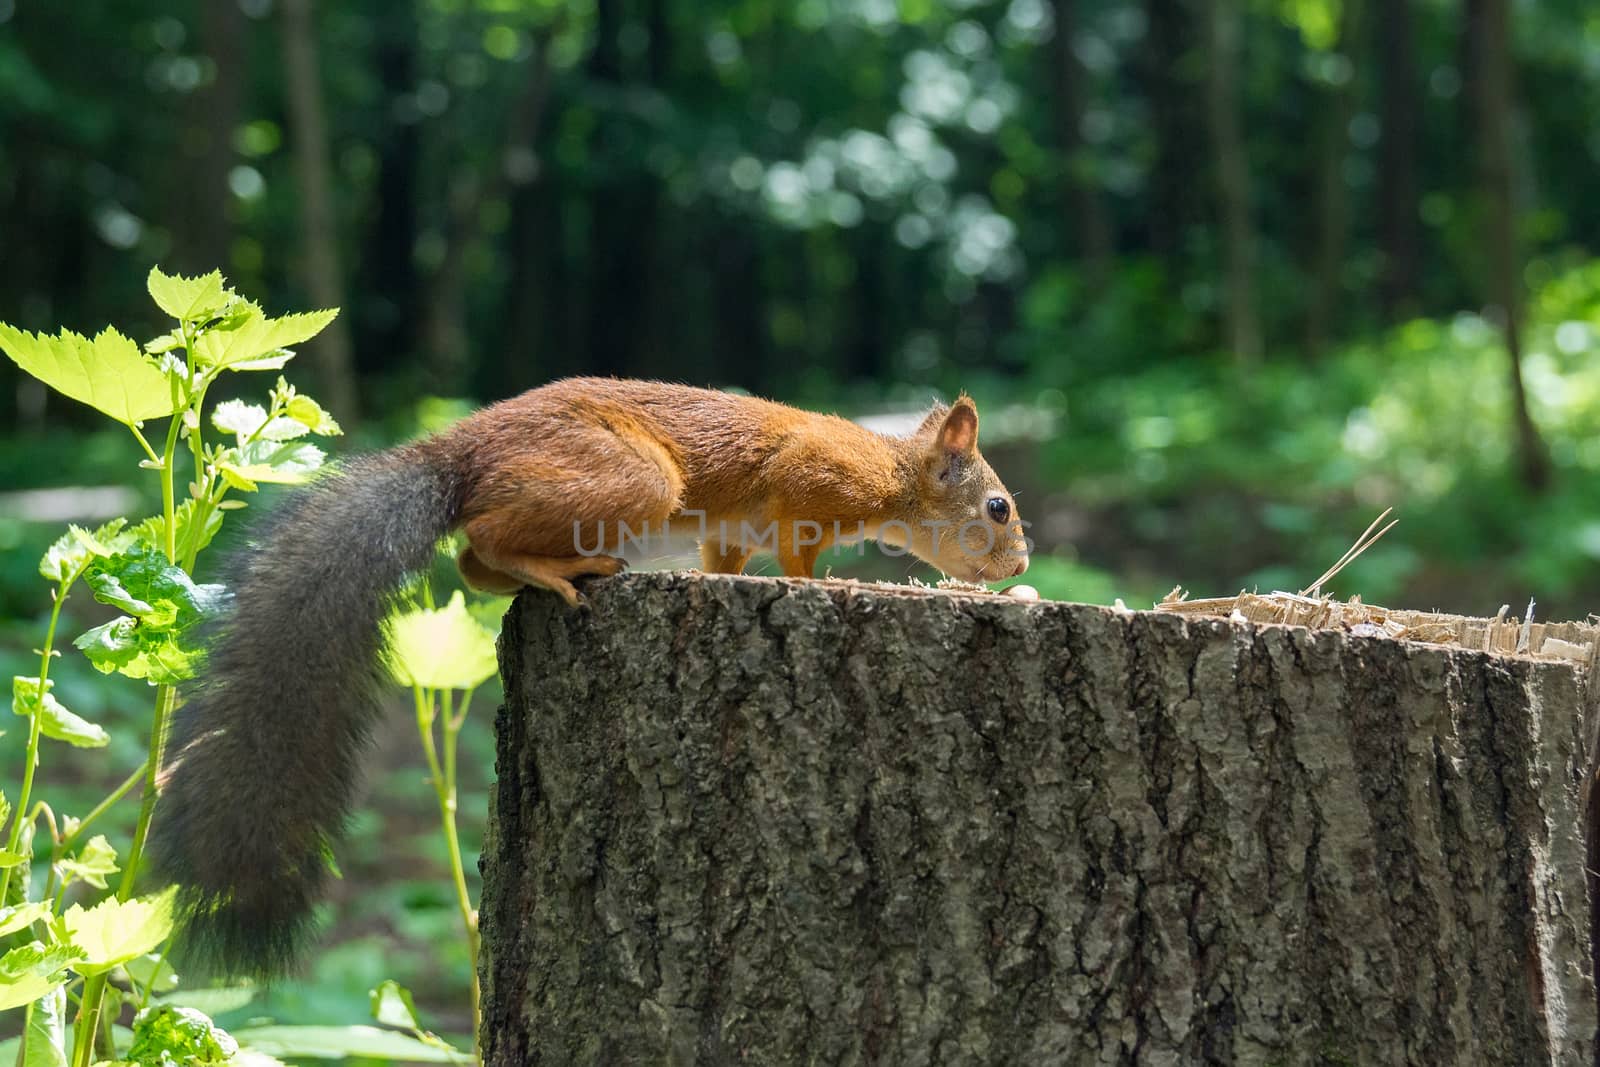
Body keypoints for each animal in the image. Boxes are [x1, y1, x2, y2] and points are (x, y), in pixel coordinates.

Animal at [150, 375, 1024, 979]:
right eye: (999, 508)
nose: (1021, 568)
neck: (893, 472)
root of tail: (459, 450)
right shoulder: (809, 483)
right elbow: (799, 557)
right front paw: (823, 584)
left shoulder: (730, 536)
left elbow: (726, 562)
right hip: (627, 478)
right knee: (482, 541)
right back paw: (564, 570)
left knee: (475, 563)